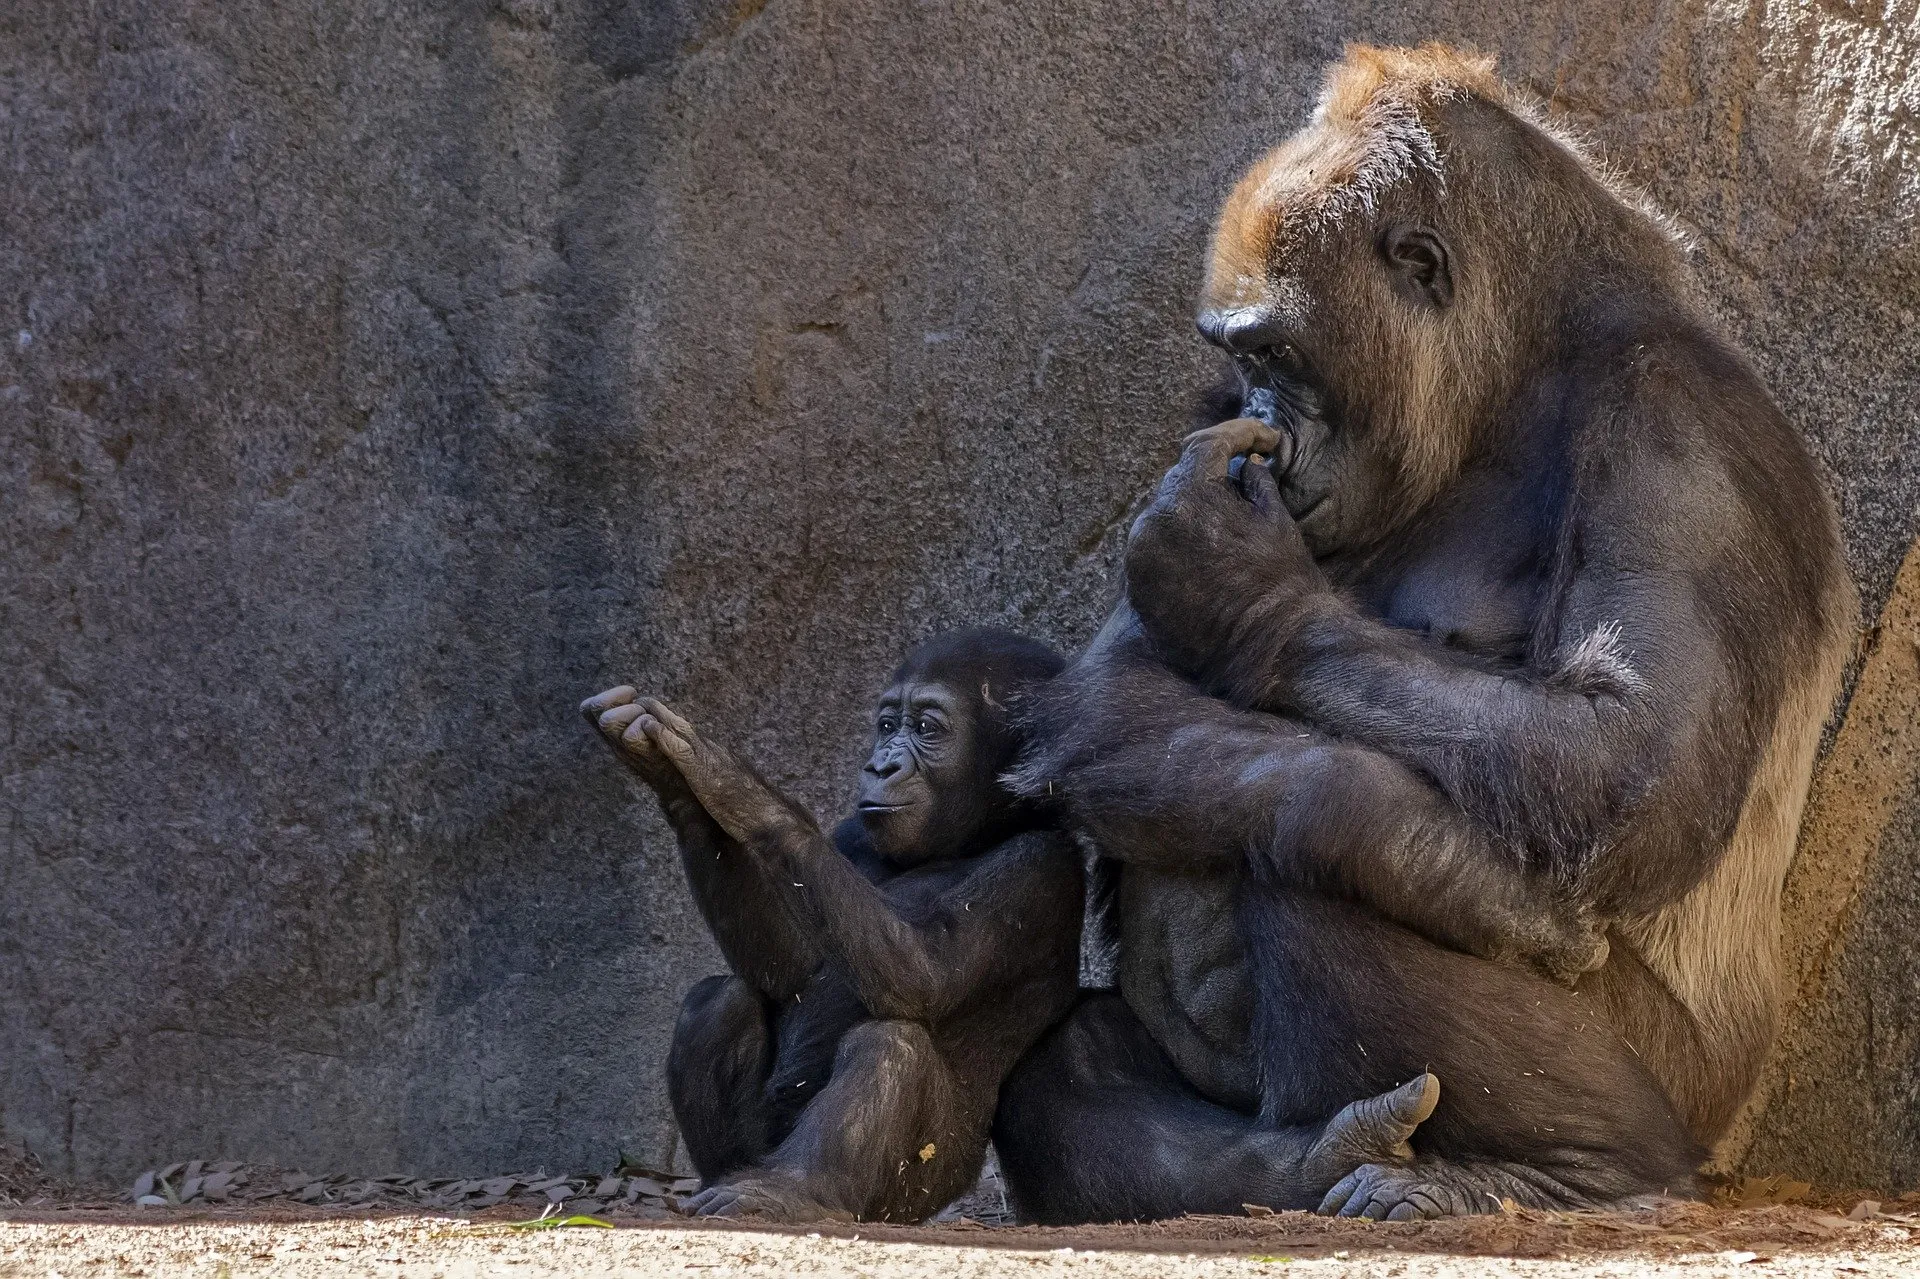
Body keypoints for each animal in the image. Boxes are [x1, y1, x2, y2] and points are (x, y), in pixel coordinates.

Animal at [583, 627, 1446, 1223]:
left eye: (928, 727)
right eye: (886, 724)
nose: (881, 763)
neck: (975, 830)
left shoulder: (1037, 867)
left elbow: (919, 973)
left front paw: (722, 777)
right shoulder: (856, 836)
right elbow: (789, 967)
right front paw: (675, 783)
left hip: (913, 1193)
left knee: (889, 1043)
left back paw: (792, 1192)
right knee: (717, 1003)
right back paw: (733, 1177)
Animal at [993, 44, 1856, 1223]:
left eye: (1280, 352)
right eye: (1241, 361)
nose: (1268, 423)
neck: (1525, 367)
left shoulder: (1686, 436)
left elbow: (1625, 764)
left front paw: (1238, 588)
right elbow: (1112, 690)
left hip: (1689, 1101)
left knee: (1318, 855)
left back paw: (1571, 1166)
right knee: (1064, 1068)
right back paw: (1292, 1161)